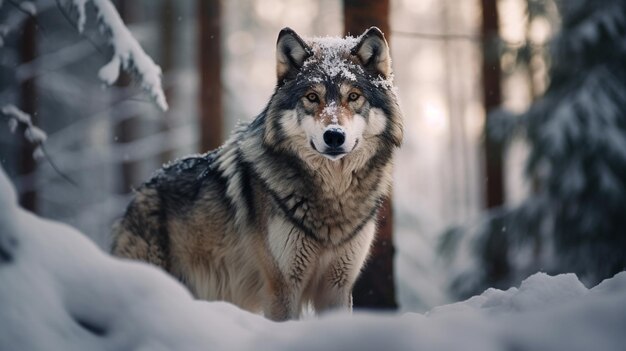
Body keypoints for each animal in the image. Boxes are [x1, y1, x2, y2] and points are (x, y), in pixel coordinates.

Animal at [111, 26, 404, 320]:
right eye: (312, 97)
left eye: (353, 96)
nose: (334, 136)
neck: (334, 194)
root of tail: (138, 193)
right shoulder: (282, 287)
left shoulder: (338, 287)